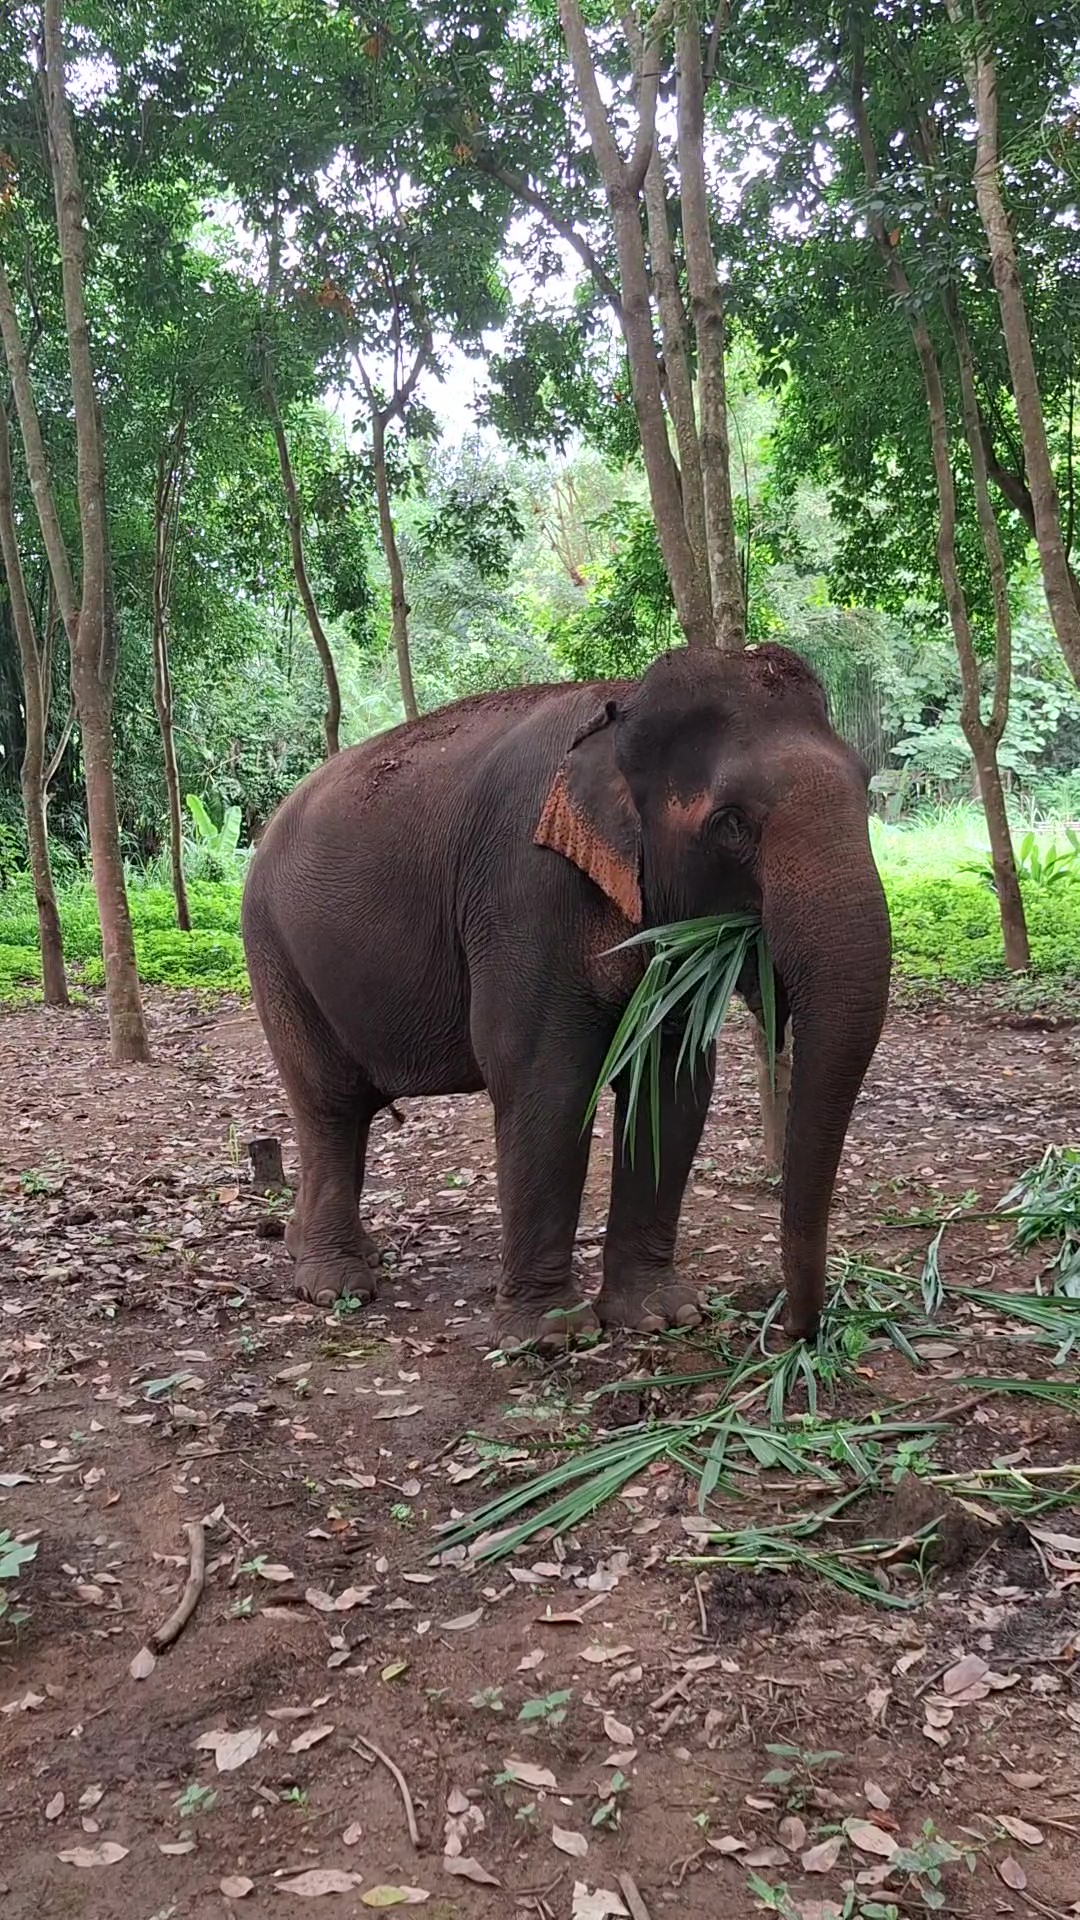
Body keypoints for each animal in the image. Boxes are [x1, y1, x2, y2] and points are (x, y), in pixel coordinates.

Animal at [242, 642, 891, 1347]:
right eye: (731, 824)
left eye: (865, 789)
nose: (789, 1330)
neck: (622, 703)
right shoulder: (523, 891)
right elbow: (547, 1082)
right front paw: (549, 1337)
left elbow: (672, 1085)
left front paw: (663, 1315)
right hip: (273, 951)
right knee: (329, 1103)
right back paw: (336, 1284)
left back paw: (320, 1249)